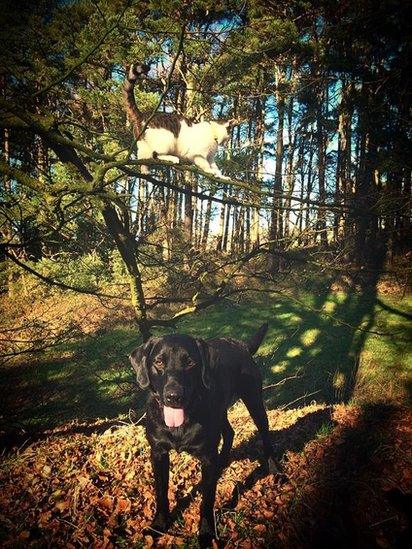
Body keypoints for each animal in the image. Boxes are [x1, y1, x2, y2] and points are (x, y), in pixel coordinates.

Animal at [129, 324, 276, 544]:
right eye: (158, 362)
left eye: (190, 362)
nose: (173, 396)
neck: (180, 424)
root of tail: (242, 345)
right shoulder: (158, 453)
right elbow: (161, 493)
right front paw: (159, 525)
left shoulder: (206, 457)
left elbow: (207, 499)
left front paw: (206, 532)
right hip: (221, 411)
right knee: (229, 432)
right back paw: (223, 461)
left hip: (254, 401)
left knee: (266, 435)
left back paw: (275, 469)